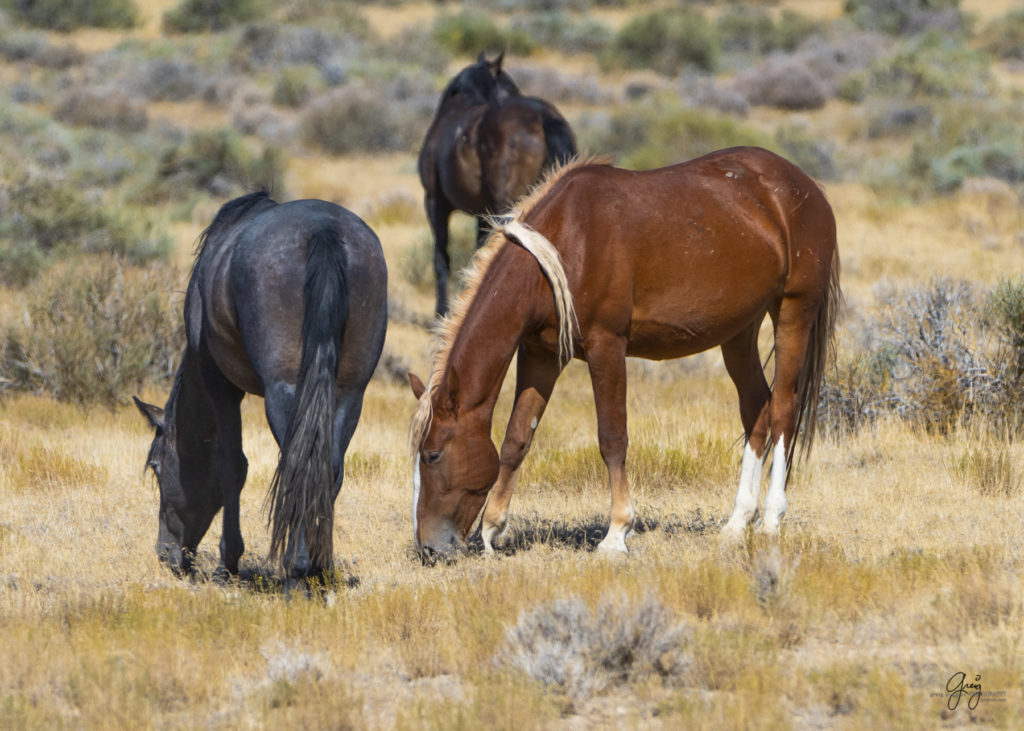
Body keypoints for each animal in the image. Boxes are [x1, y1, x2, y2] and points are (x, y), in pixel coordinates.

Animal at [135, 190, 387, 577]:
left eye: (157, 466)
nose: (166, 554)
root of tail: (324, 230)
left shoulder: (220, 384)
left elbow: (232, 466)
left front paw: (228, 563)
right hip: (349, 393)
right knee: (328, 467)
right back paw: (319, 566)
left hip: (283, 392)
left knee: (297, 464)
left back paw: (296, 569)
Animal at [407, 145, 839, 561]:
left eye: (432, 455)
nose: (428, 549)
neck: (565, 245)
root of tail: (805, 186)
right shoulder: (540, 354)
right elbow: (516, 439)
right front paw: (493, 528)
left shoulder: (607, 347)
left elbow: (612, 439)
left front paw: (617, 533)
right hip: (739, 329)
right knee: (756, 407)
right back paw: (737, 521)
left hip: (793, 311)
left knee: (783, 407)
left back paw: (771, 520)